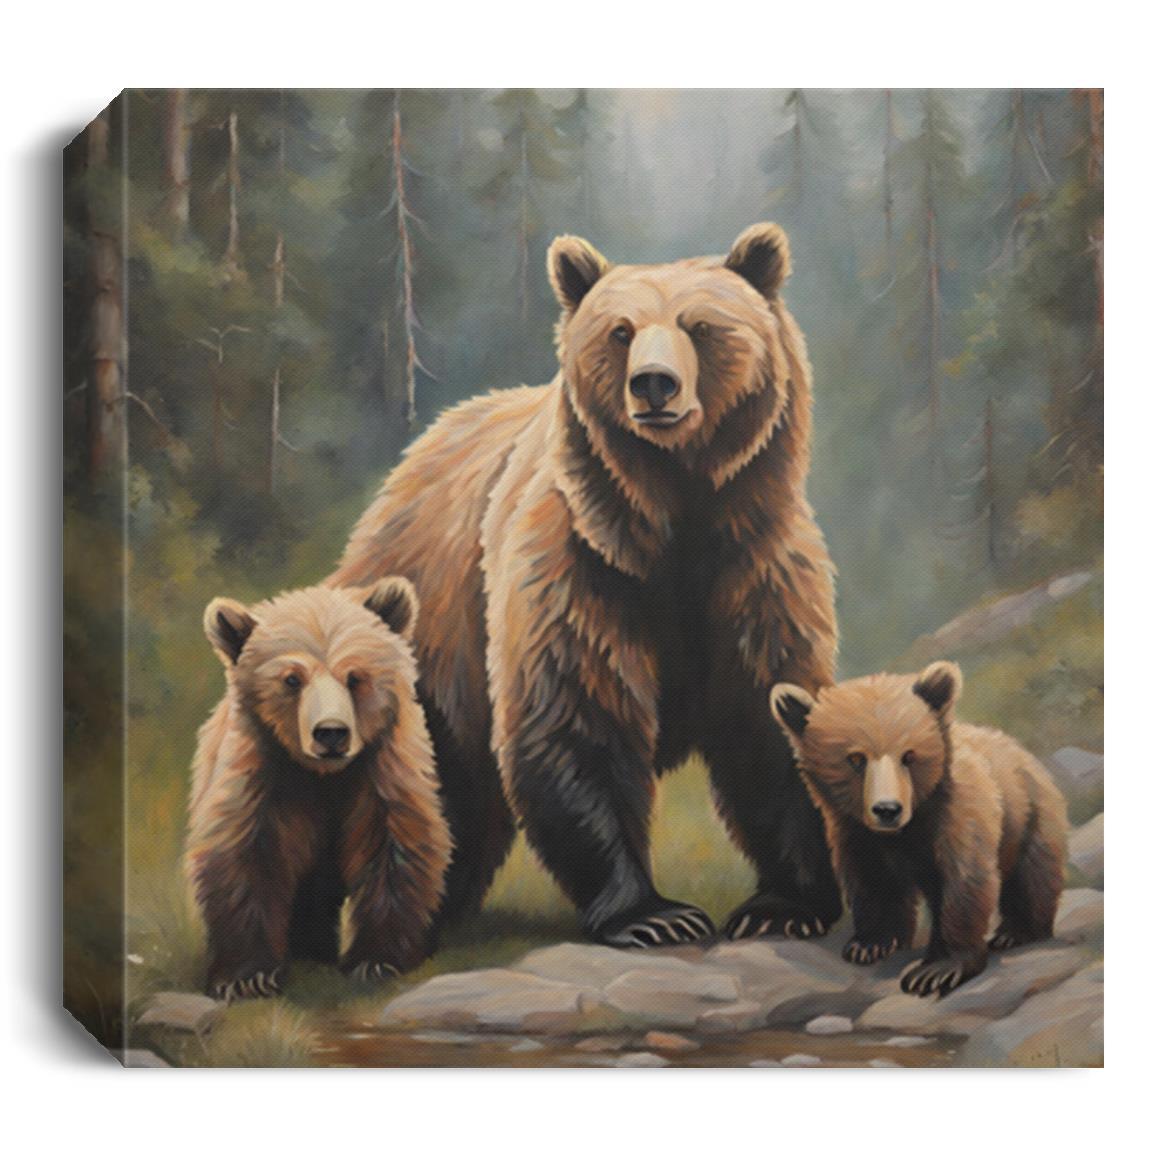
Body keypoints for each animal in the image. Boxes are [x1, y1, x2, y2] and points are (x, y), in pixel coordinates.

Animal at [186, 579, 451, 1000]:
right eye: (292, 679)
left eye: (355, 677)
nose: (331, 733)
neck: (323, 775)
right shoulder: (262, 774)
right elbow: (243, 855)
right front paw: (246, 976)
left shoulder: (379, 770)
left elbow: (394, 847)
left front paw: (376, 960)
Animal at [330, 222, 841, 948]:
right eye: (620, 331)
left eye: (701, 326)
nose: (654, 384)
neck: (675, 513)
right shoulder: (582, 564)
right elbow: (577, 717)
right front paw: (654, 915)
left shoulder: (754, 566)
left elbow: (768, 710)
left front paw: (786, 903)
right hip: (430, 623)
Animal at [769, 661, 1068, 997]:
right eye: (856, 758)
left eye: (909, 755)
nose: (887, 809)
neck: (906, 830)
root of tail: (1022, 751)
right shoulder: (854, 833)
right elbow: (872, 881)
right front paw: (870, 944)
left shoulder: (957, 815)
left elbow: (964, 882)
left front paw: (936, 969)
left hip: (1029, 814)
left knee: (1032, 875)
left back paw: (1017, 931)